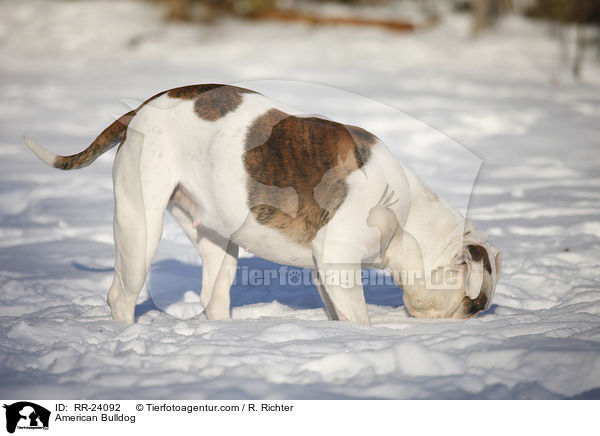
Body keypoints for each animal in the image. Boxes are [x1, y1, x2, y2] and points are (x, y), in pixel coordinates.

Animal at [24, 84, 502, 324]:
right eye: (475, 304)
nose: (475, 320)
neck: (409, 222)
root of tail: (140, 109)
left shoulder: (327, 272)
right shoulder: (338, 258)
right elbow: (359, 317)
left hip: (217, 240)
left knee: (214, 292)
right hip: (140, 227)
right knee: (121, 295)